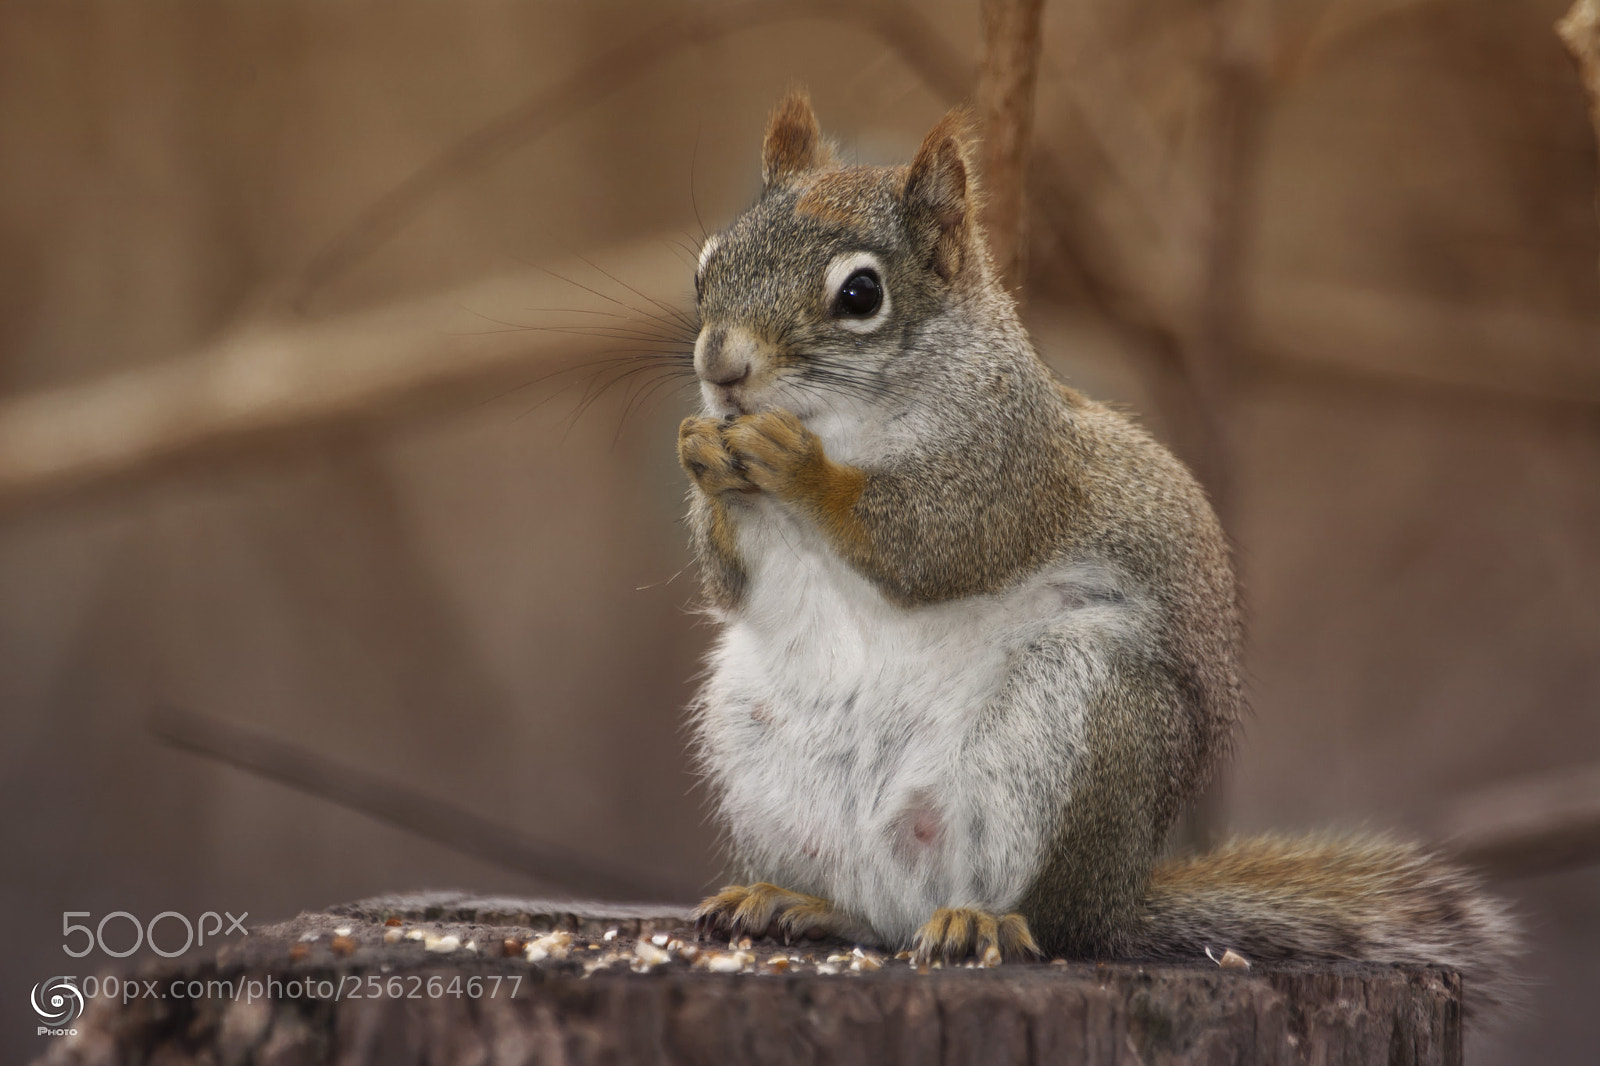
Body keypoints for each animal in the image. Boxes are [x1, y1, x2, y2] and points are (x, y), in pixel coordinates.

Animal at [675, 90, 1519, 1018]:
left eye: (860, 294)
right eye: (705, 268)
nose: (721, 367)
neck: (852, 417)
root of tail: (1123, 901)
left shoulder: (1010, 467)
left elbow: (931, 545)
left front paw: (799, 467)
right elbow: (732, 581)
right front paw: (702, 452)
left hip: (1095, 719)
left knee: (1051, 921)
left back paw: (986, 922)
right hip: (756, 737)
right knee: (870, 912)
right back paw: (796, 900)